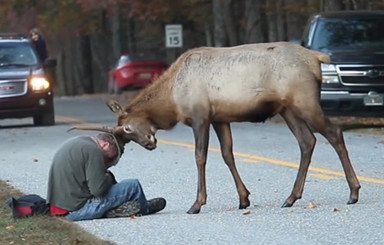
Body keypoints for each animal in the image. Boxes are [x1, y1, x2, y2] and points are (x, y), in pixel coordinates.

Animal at [76, 41, 360, 213]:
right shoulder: (220, 118)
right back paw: (291, 197)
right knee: (307, 141)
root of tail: (316, 58)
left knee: (334, 133)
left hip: (304, 101)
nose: (149, 143)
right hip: (288, 109)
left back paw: (354, 192)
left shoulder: (200, 116)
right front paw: (244, 198)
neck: (172, 100)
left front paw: (197, 203)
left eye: (127, 129)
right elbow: (227, 154)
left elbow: (200, 156)